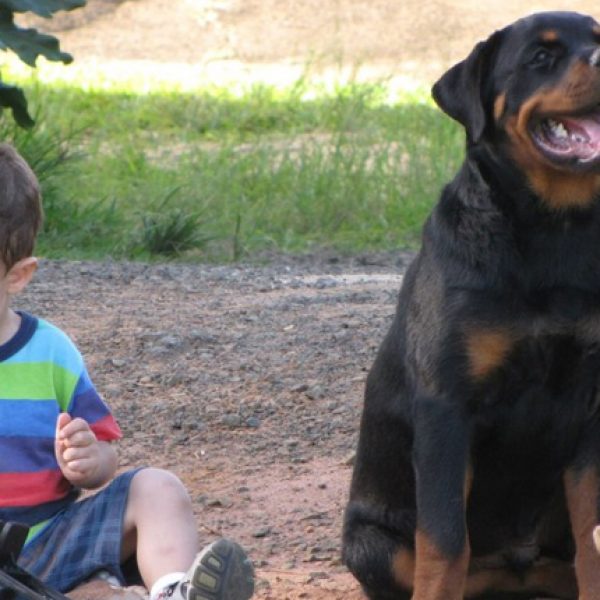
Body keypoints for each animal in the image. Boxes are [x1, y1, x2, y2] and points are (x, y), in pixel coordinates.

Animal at [344, 10, 600, 600]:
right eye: (541, 57)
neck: (556, 232)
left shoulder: (593, 404)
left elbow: (592, 537)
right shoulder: (448, 407)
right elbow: (443, 543)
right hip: (372, 544)